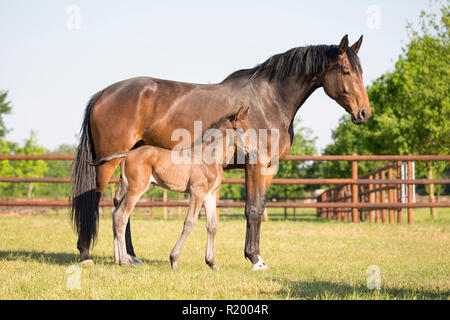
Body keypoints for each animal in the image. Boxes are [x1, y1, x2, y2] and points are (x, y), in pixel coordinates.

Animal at [90, 107, 256, 268]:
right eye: (242, 130)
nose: (254, 153)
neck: (208, 158)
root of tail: (127, 154)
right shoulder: (197, 192)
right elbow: (189, 222)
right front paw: (174, 260)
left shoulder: (210, 194)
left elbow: (212, 225)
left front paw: (212, 263)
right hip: (135, 190)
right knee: (121, 216)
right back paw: (125, 261)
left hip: (128, 189)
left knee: (114, 214)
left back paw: (117, 260)